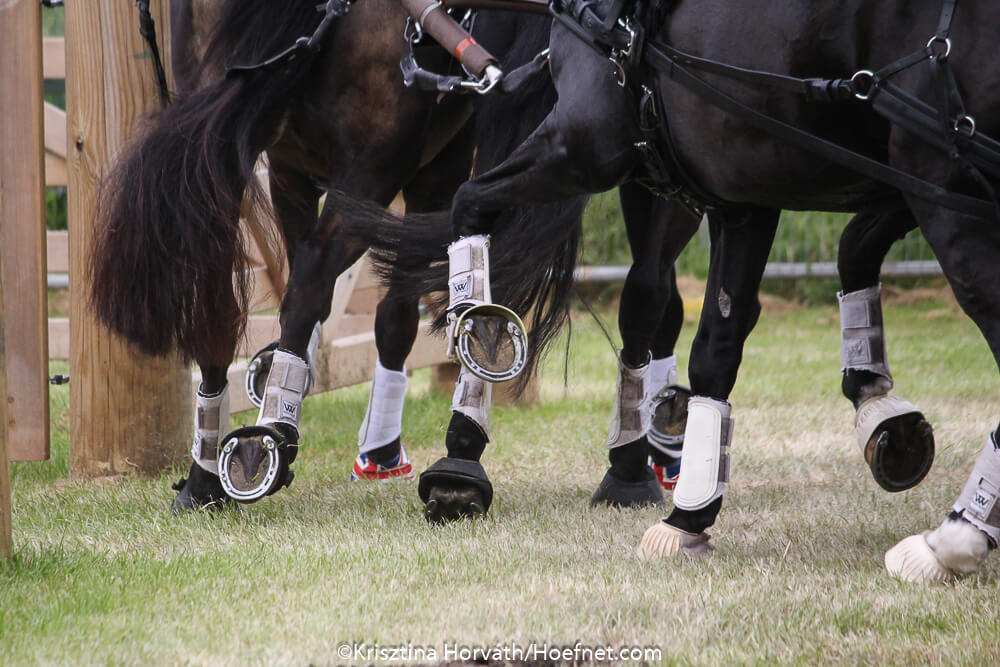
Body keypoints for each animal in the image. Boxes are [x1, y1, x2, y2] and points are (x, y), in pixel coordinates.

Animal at [346, 0, 999, 581]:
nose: (414, 44)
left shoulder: (585, 144)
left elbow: (473, 218)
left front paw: (465, 431)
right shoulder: (754, 192)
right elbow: (725, 339)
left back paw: (953, 540)